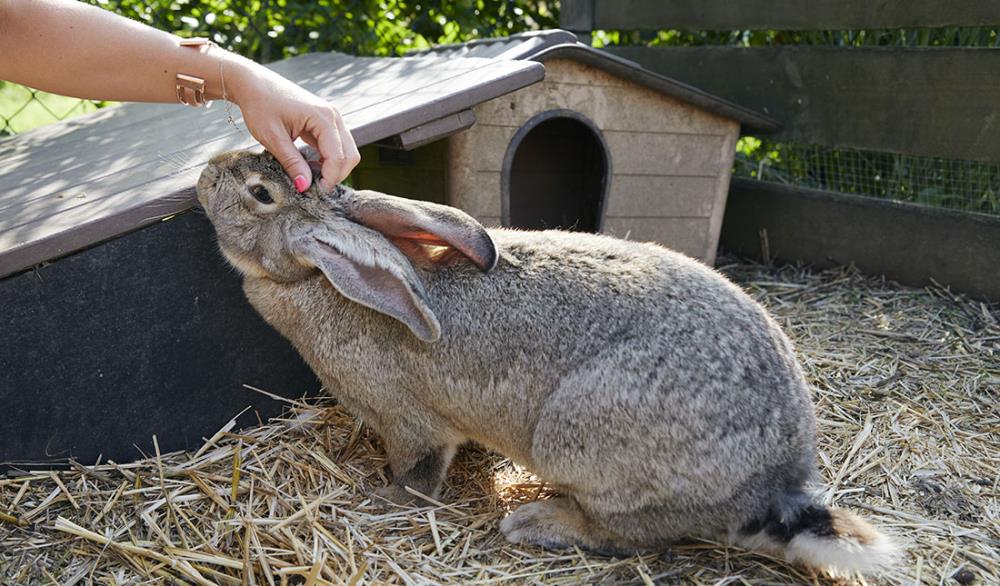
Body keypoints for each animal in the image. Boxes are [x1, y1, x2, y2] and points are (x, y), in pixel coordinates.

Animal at [195, 148, 900, 572]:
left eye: (259, 192)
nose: (206, 170)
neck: (314, 279)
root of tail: (773, 485)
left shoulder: (408, 423)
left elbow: (418, 471)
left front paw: (382, 498)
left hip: (580, 440)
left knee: (635, 533)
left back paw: (537, 520)